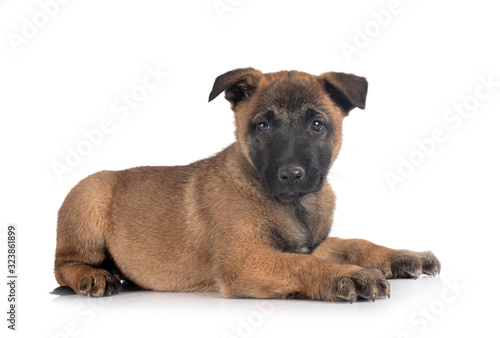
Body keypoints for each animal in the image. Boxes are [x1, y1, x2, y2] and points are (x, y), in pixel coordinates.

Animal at [52, 68, 440, 302]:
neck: (292, 204)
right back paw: (95, 277)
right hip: (90, 195)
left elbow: (355, 243)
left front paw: (404, 256)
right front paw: (349, 276)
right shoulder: (244, 260)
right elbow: (301, 266)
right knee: (63, 264)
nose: (291, 174)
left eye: (317, 125)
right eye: (262, 126)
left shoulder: (312, 245)